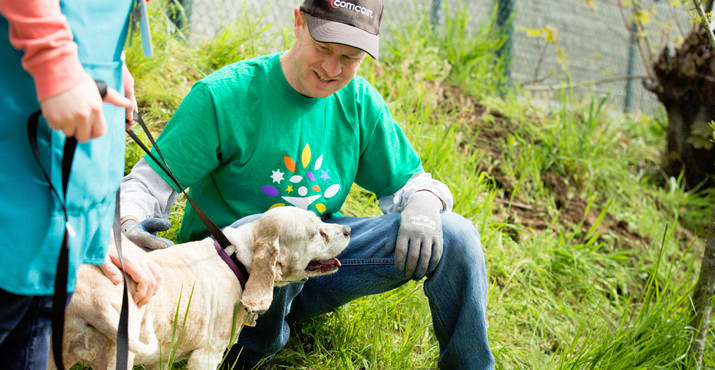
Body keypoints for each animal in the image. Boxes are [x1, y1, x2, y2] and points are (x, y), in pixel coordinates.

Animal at [51, 207, 352, 368]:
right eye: (318, 233)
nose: (348, 231)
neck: (238, 260)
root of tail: (90, 302)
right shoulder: (206, 356)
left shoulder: (162, 356)